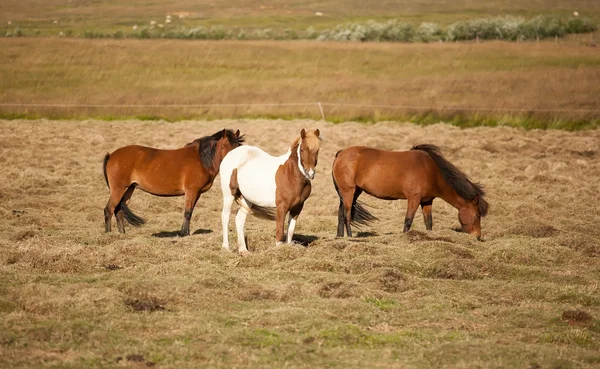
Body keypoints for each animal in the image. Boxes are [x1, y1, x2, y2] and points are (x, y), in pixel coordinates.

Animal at [103, 128, 244, 234]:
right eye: (223, 146)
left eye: (237, 146)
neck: (202, 160)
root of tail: (111, 155)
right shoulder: (191, 191)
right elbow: (187, 212)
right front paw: (183, 233)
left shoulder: (197, 193)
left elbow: (190, 211)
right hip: (118, 189)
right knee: (109, 210)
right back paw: (109, 235)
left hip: (129, 189)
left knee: (118, 210)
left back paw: (122, 234)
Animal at [332, 145, 488, 240]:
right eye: (477, 215)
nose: (477, 236)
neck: (432, 171)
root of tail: (341, 153)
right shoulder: (414, 198)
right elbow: (408, 220)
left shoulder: (427, 201)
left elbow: (428, 222)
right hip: (349, 192)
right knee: (346, 215)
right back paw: (350, 237)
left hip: (351, 193)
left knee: (340, 214)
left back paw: (339, 237)